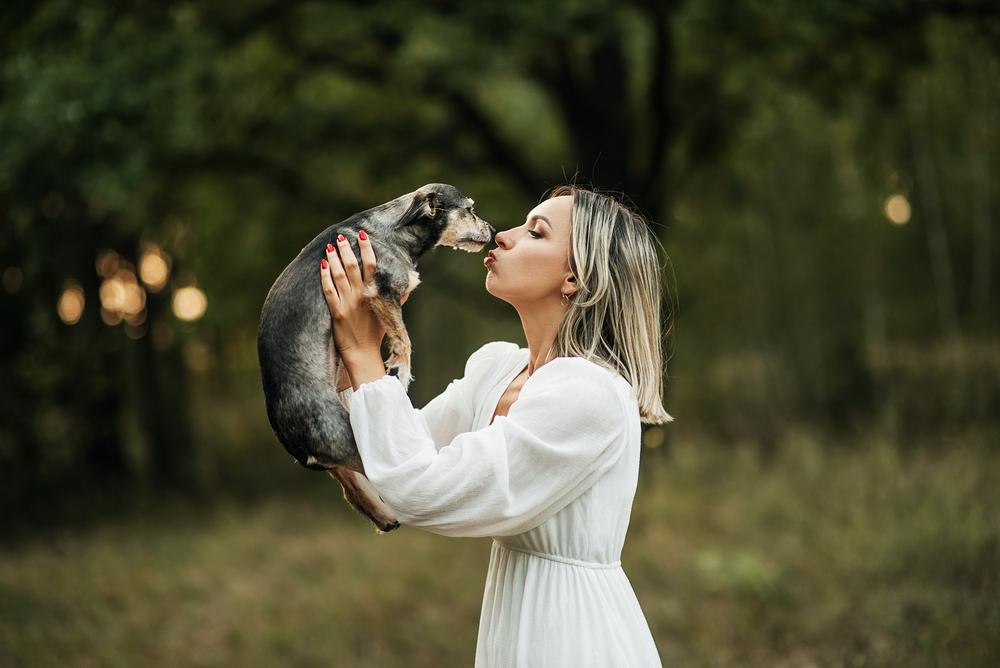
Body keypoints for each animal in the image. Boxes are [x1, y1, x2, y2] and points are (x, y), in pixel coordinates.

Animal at [256, 183, 494, 532]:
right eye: (470, 210)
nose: (493, 230)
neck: (393, 230)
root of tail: (288, 436)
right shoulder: (382, 292)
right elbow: (404, 339)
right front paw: (401, 370)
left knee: (353, 490)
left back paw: (385, 517)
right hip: (353, 442)